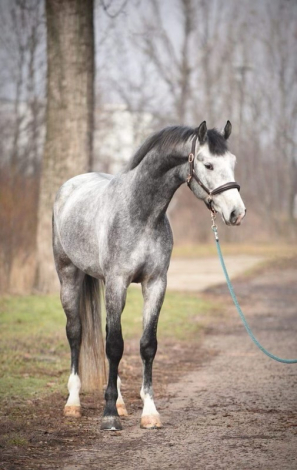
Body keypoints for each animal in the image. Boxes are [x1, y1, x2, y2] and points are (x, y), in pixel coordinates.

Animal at [52, 120, 245, 430]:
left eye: (233, 162)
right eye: (208, 164)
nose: (237, 212)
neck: (141, 213)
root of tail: (70, 186)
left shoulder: (155, 284)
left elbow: (146, 345)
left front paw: (149, 412)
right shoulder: (118, 282)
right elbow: (115, 346)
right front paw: (109, 415)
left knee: (105, 333)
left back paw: (120, 402)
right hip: (69, 276)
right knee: (75, 333)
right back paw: (74, 403)